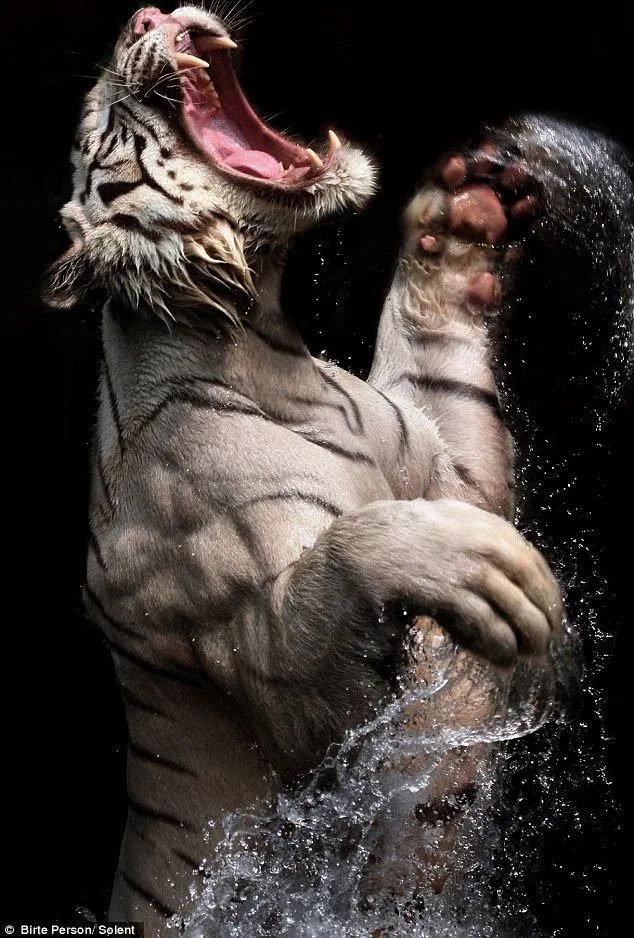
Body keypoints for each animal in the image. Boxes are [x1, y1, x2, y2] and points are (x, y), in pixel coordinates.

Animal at [42, 3, 632, 934]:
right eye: (102, 123)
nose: (148, 14)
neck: (269, 349)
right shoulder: (277, 669)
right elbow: (345, 557)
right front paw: (488, 575)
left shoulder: (456, 471)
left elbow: (440, 375)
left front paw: (463, 217)